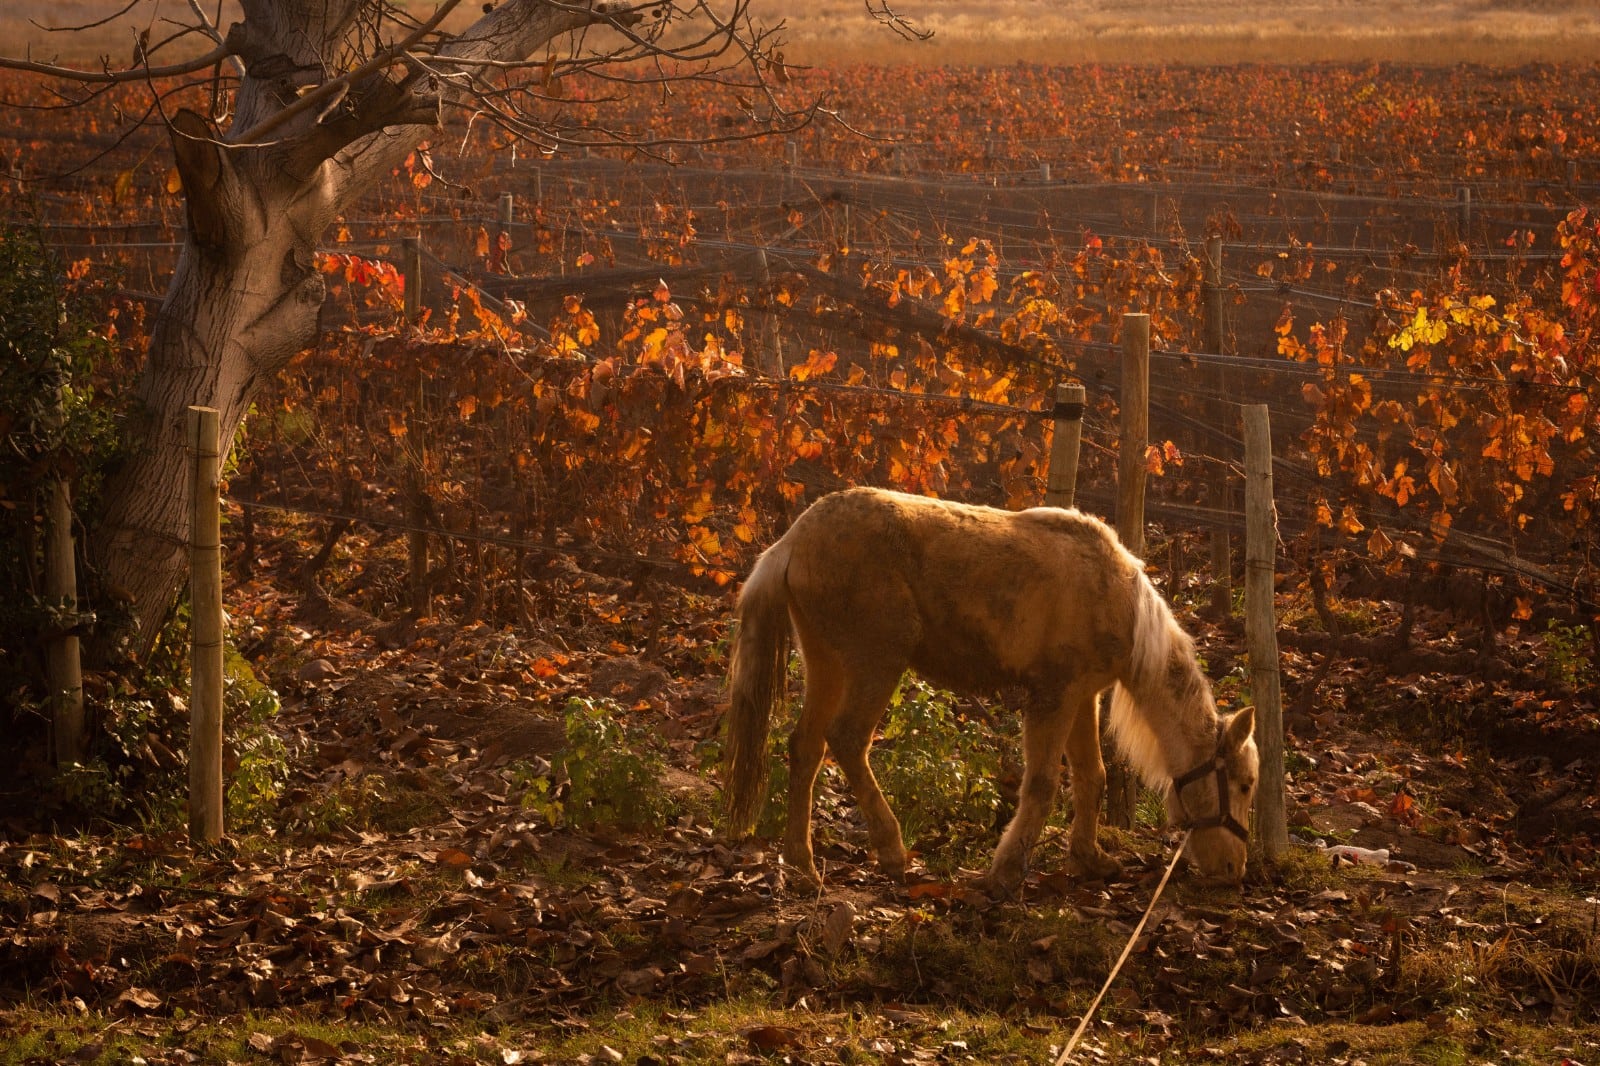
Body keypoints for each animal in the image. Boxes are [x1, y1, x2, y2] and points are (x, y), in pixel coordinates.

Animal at [726, 486, 1260, 889]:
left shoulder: (1082, 697)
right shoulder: (1054, 697)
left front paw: (1089, 859)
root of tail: (793, 539)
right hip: (877, 662)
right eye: (1244, 784)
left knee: (806, 747)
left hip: (826, 663)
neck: (1120, 602)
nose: (1235, 871)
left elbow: (1093, 775)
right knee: (848, 740)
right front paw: (1005, 871)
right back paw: (892, 850)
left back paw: (802, 865)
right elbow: (1043, 784)